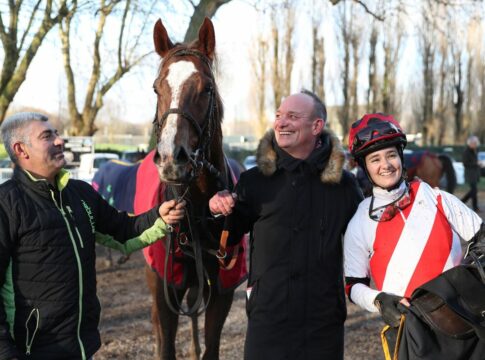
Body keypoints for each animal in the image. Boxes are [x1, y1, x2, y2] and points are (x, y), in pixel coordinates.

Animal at [143, 19, 244, 360]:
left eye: (207, 88)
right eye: (156, 87)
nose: (173, 159)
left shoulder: (222, 291)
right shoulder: (164, 289)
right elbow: (165, 345)